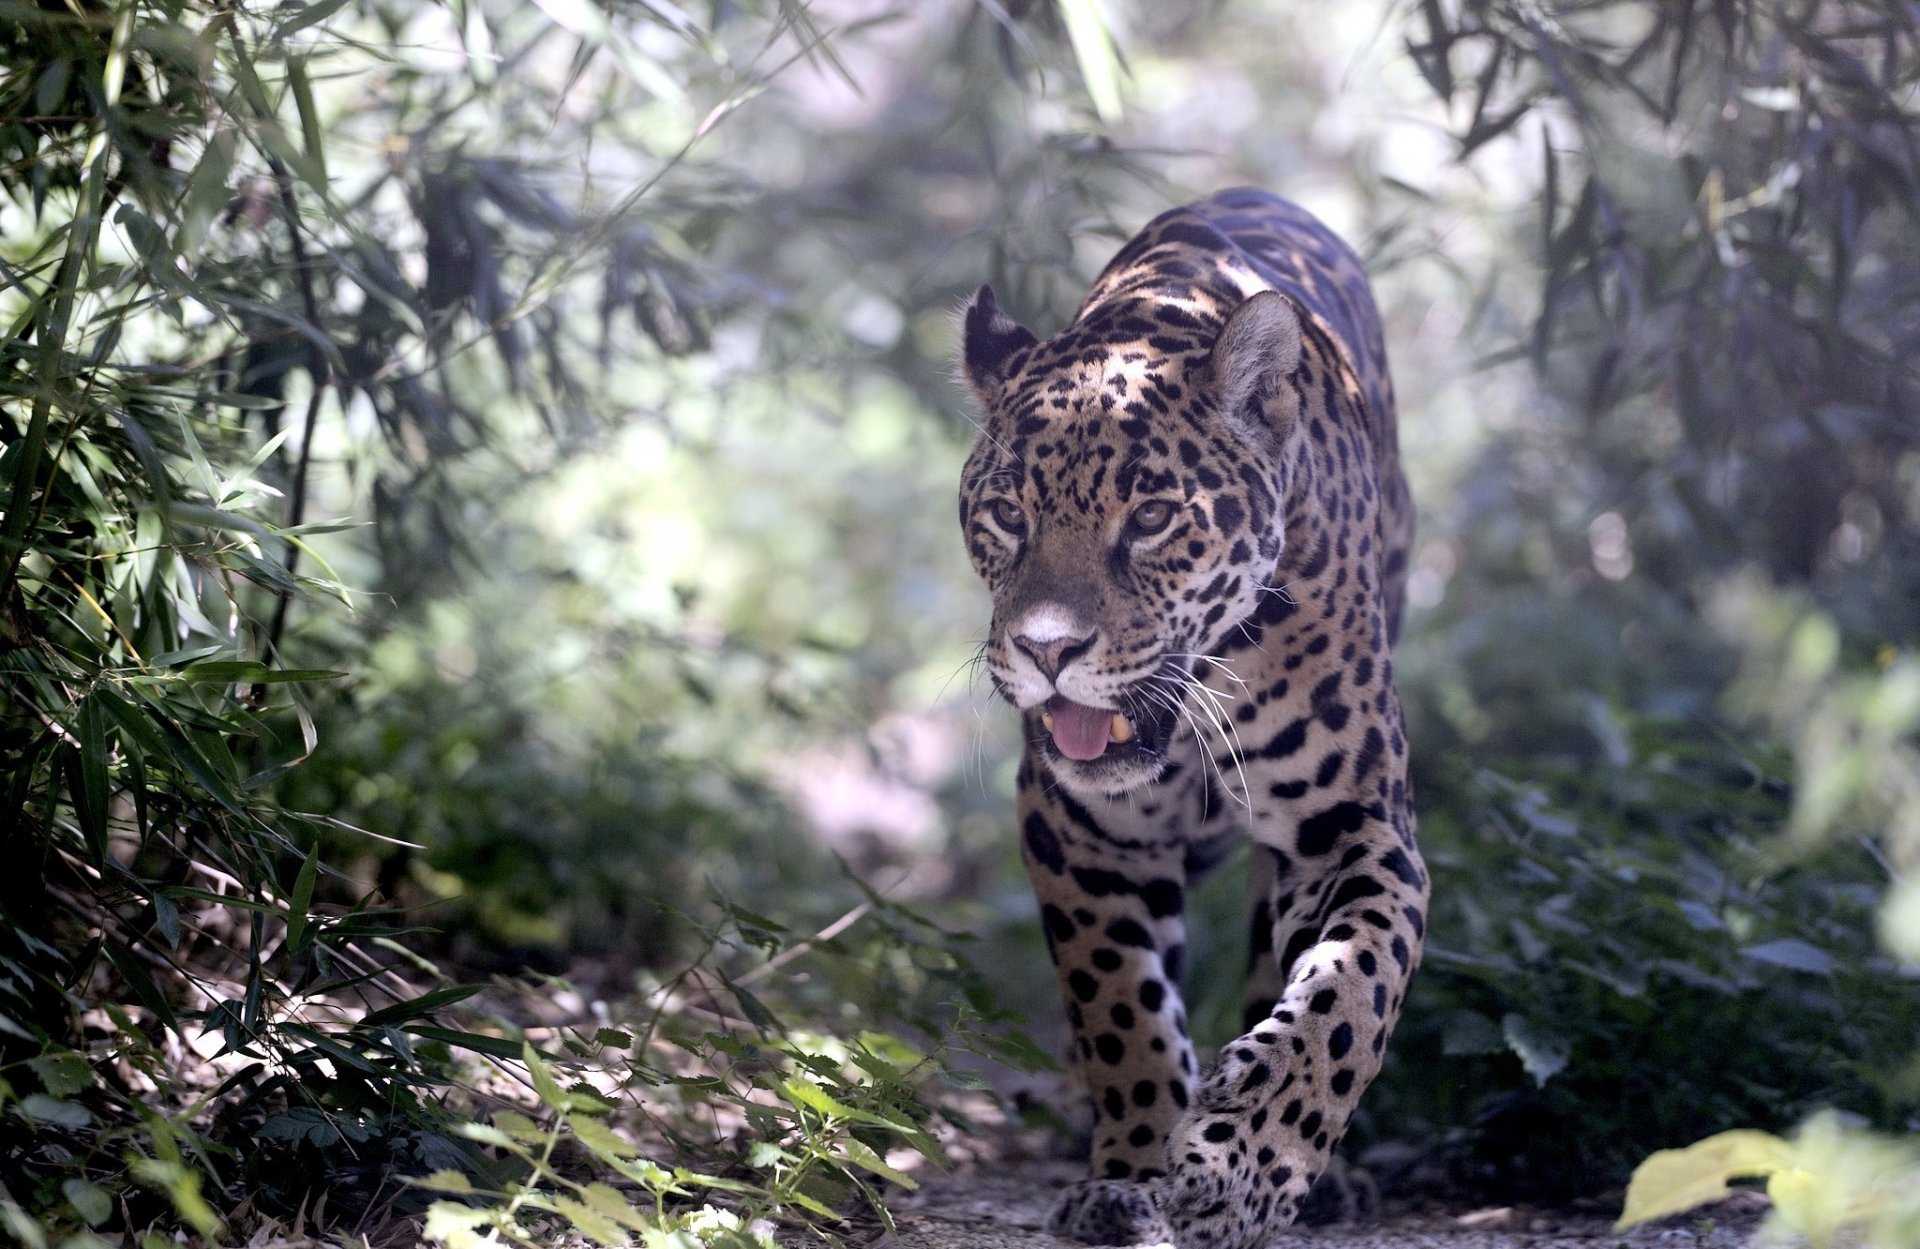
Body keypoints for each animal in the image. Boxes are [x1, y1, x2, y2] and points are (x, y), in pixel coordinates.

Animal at [956, 188, 1427, 1249]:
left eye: (1152, 518)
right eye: (1006, 513)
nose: (1046, 651)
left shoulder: (1357, 824)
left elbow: (1350, 991)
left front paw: (1248, 1165)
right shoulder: (1079, 827)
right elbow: (1119, 1005)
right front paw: (1130, 1174)